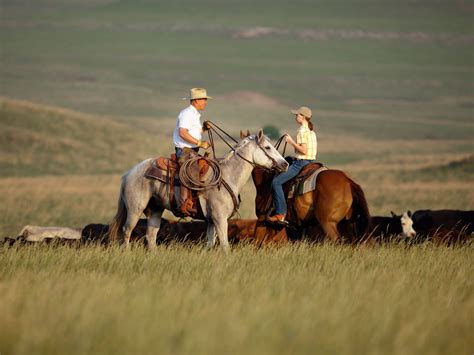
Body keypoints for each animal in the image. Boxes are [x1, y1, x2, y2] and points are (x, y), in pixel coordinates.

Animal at [109, 131, 286, 253]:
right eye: (268, 147)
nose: (284, 164)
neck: (228, 177)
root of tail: (129, 173)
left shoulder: (211, 221)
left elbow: (210, 245)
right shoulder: (220, 219)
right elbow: (225, 245)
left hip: (155, 210)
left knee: (151, 235)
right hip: (135, 209)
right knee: (126, 231)